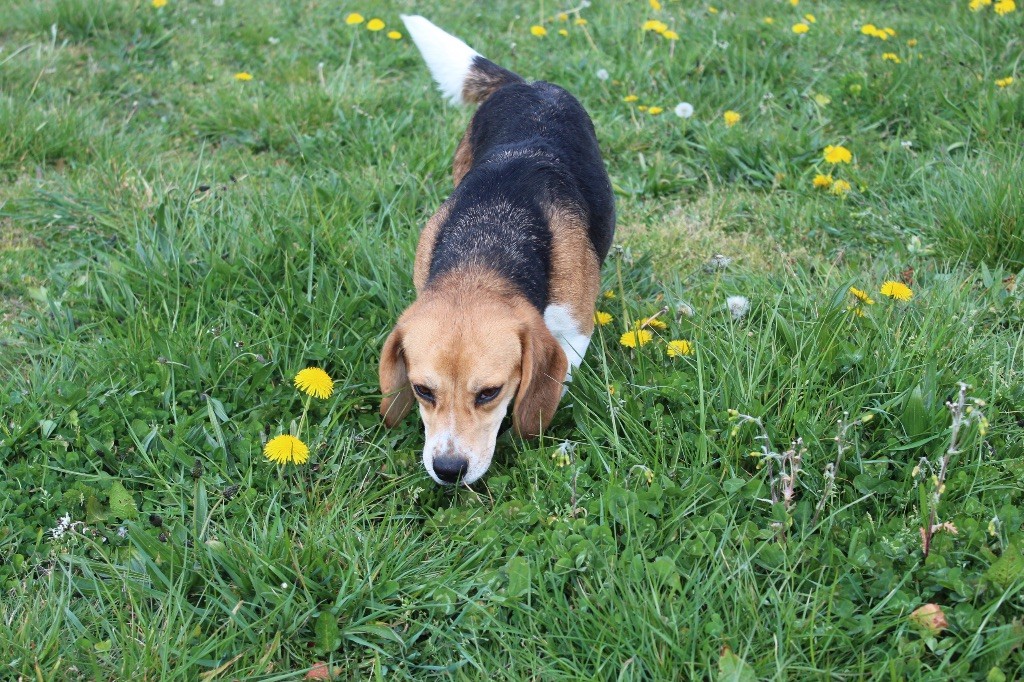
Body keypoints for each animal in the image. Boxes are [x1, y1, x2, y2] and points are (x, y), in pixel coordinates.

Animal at [378, 15, 610, 483]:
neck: (485, 249)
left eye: (490, 393)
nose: (448, 470)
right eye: (421, 390)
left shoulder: (574, 332)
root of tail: (527, 84)